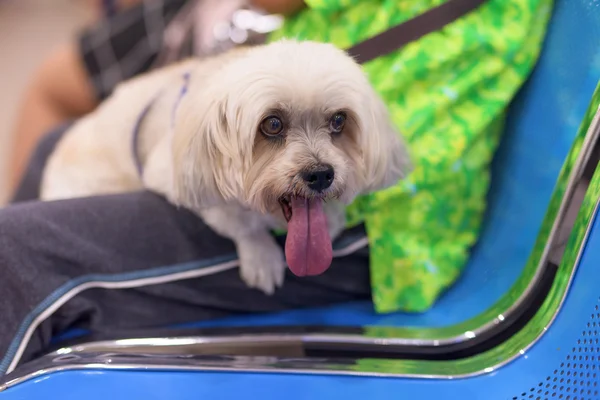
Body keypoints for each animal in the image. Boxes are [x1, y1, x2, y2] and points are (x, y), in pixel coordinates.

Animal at [38, 39, 412, 294]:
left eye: (338, 120)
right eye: (272, 124)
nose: (321, 174)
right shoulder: (180, 175)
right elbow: (238, 221)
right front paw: (261, 255)